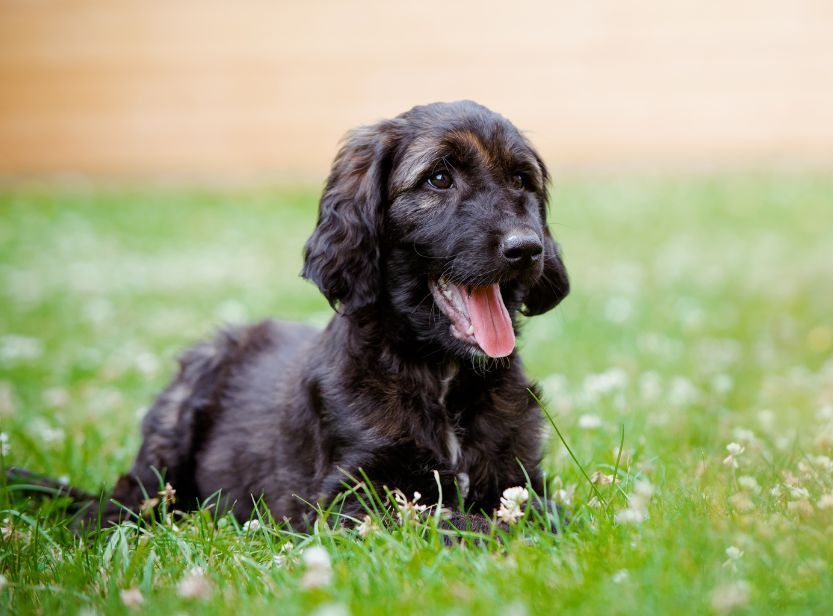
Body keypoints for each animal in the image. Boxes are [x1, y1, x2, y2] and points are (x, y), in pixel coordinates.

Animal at [11, 102, 564, 536]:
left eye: (521, 179)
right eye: (439, 178)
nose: (526, 249)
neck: (442, 375)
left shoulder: (516, 479)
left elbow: (543, 511)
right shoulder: (352, 497)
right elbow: (457, 520)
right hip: (175, 419)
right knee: (130, 494)